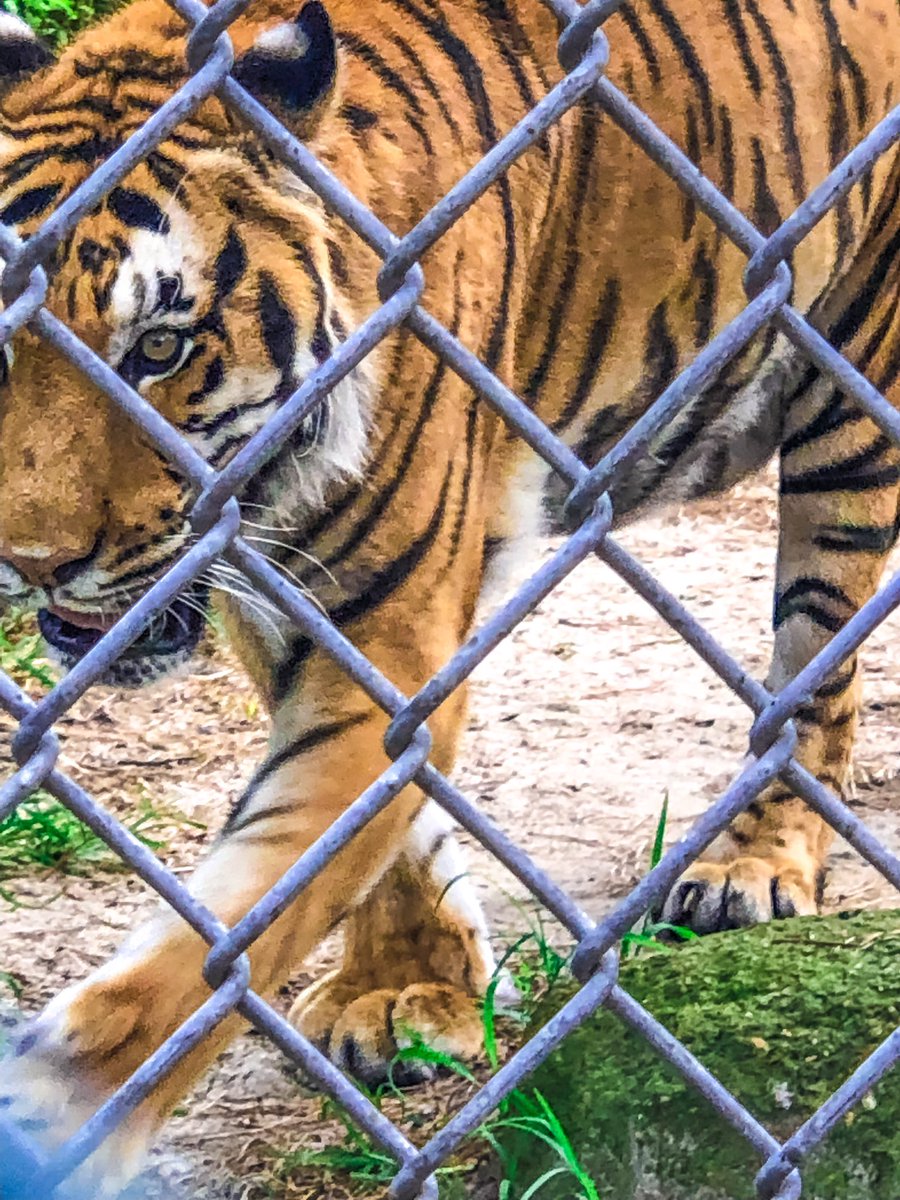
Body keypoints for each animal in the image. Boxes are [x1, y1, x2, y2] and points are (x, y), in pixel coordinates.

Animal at [0, 0, 900, 1190]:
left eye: (158, 347)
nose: (31, 563)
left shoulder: (386, 621)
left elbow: (229, 935)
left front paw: (56, 1115)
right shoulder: (300, 609)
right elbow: (389, 832)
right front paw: (408, 991)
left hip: (852, 404)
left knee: (819, 668)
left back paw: (756, 861)